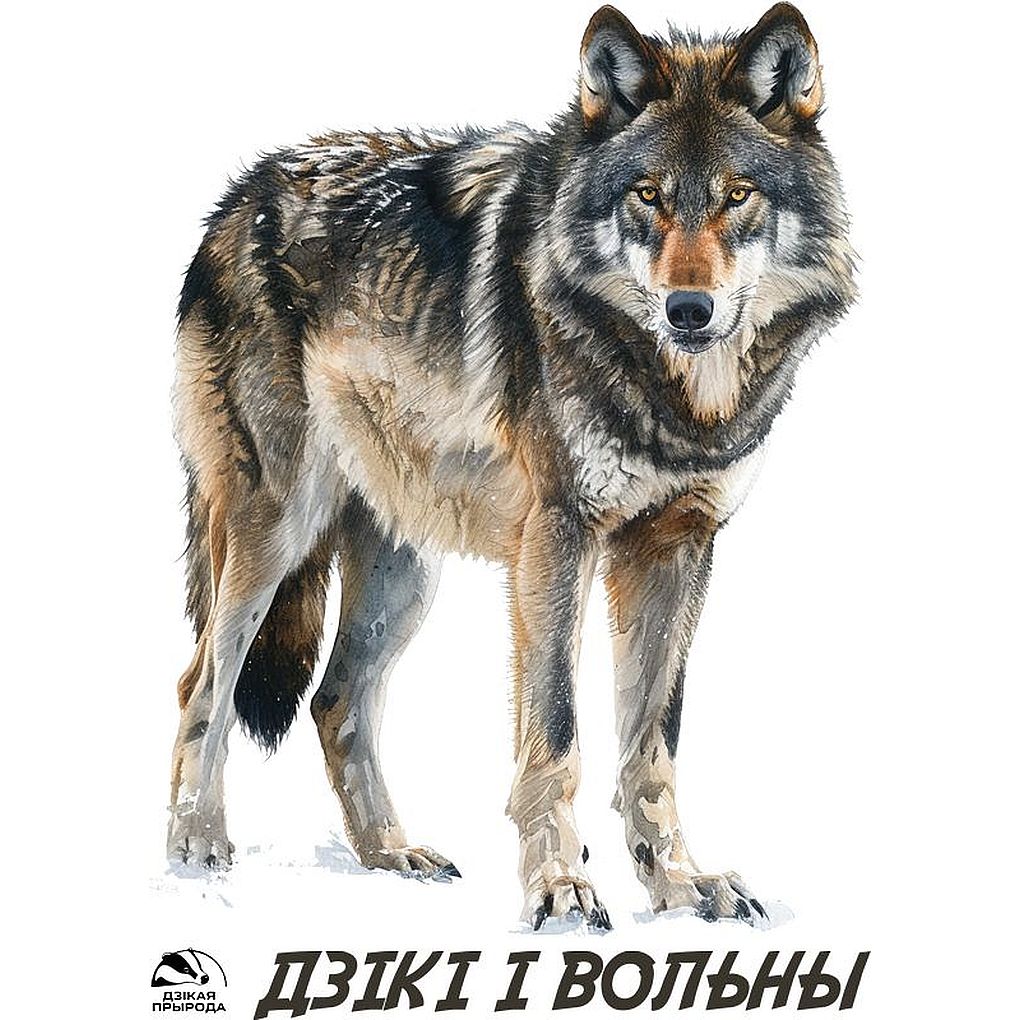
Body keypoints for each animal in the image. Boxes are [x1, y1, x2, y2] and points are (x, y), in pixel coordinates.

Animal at [167, 2, 855, 929]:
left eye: (736, 195)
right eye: (647, 196)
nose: (689, 309)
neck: (679, 401)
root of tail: (235, 199)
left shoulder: (678, 546)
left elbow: (653, 744)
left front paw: (679, 885)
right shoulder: (558, 542)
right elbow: (557, 735)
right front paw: (560, 887)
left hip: (404, 575)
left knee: (336, 699)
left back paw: (391, 854)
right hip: (274, 534)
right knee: (205, 681)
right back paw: (197, 848)